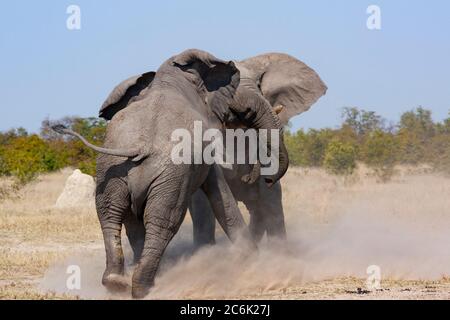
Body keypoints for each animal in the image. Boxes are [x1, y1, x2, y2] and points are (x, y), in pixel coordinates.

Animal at [52, 48, 288, 298]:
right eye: (237, 87)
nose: (264, 179)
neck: (171, 78)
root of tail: (140, 148)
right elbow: (220, 195)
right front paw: (252, 259)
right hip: (169, 177)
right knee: (163, 221)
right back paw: (144, 286)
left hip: (111, 171)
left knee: (112, 214)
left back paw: (116, 282)